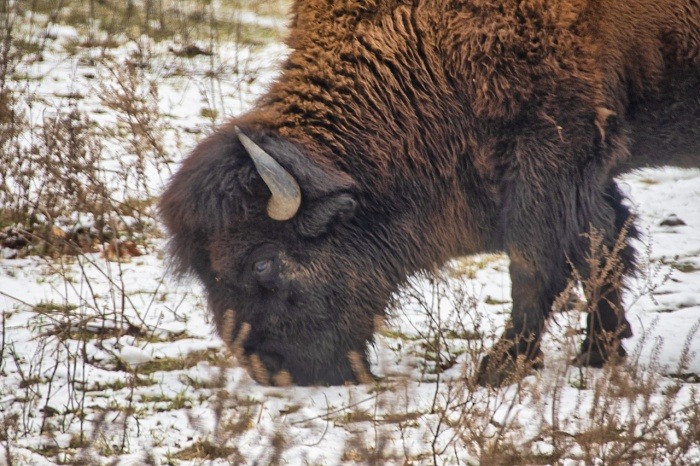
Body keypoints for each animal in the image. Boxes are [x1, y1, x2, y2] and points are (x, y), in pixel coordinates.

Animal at [161, 0, 700, 386]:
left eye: (262, 262)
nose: (272, 372)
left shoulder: (551, 151)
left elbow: (538, 263)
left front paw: (498, 368)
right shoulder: (589, 171)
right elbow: (606, 246)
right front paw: (600, 351)